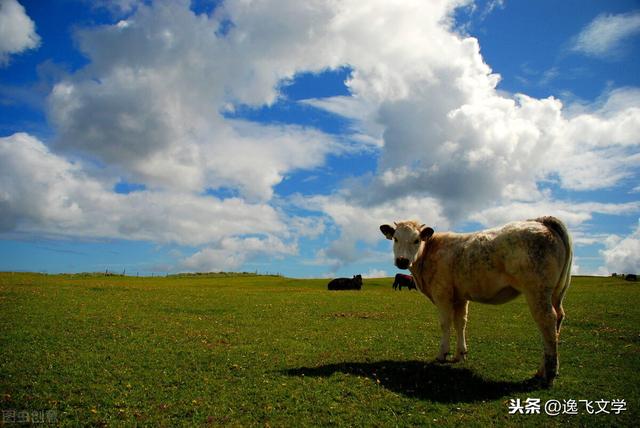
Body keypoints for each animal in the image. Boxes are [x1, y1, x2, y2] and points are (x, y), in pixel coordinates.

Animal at [380, 217, 576, 388]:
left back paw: (549, 375)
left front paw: (442, 354)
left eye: (416, 240)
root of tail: (541, 220)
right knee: (557, 320)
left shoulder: (442, 293)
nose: (402, 260)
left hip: (537, 290)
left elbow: (445, 323)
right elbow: (460, 323)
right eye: (395, 238)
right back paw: (542, 371)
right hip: (556, 293)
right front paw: (460, 354)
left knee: (547, 322)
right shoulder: (460, 297)